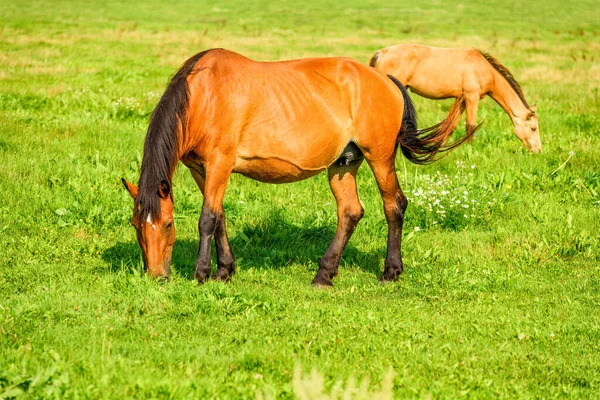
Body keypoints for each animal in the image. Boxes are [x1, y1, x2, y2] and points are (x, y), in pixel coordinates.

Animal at [120, 48, 468, 286]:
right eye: (136, 225)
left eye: (167, 225)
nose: (155, 275)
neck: (204, 96)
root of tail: (386, 80)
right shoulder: (201, 170)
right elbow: (220, 218)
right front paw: (225, 270)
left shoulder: (220, 164)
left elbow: (207, 219)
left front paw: (202, 273)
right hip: (343, 164)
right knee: (350, 212)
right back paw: (324, 275)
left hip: (379, 157)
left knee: (394, 205)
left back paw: (390, 271)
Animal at [368, 43, 540, 153]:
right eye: (533, 128)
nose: (538, 150)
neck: (484, 69)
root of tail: (381, 53)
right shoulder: (472, 97)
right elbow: (470, 125)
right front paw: (469, 149)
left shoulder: (462, 99)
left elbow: (450, 126)